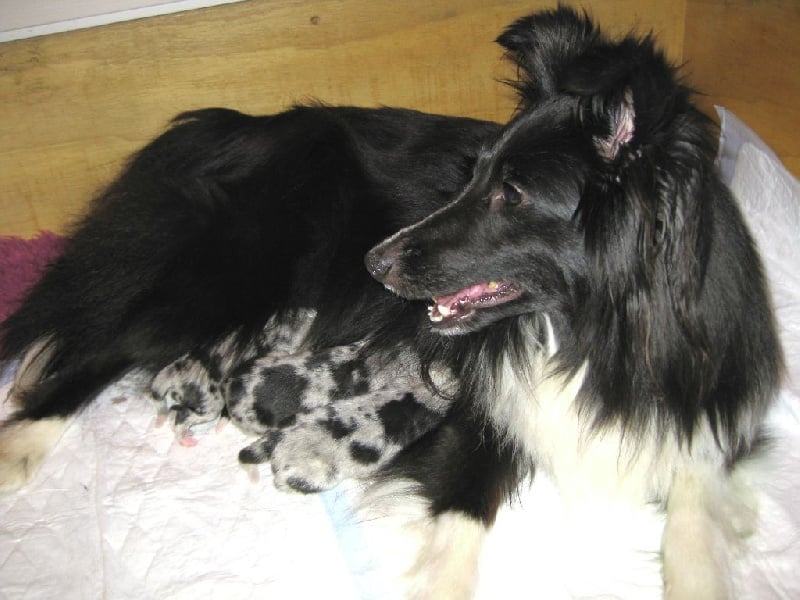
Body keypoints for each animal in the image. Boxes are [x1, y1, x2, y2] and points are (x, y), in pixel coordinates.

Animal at [0, 5, 780, 600]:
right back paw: (20, 443)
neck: (594, 334)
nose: (375, 262)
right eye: (474, 173)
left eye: (510, 194)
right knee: (100, 341)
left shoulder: (707, 426)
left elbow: (694, 534)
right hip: (226, 278)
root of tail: (234, 123)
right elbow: (459, 532)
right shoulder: (476, 416)